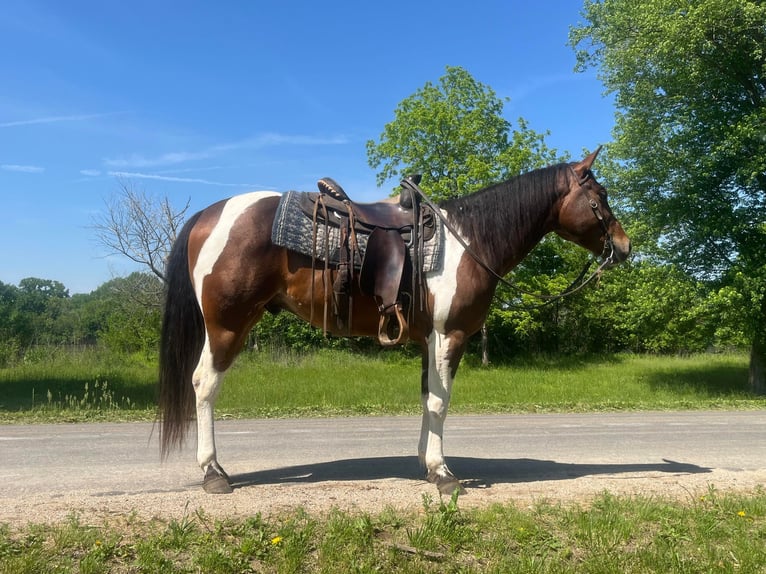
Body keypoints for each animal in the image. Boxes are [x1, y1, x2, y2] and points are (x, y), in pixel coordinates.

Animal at [158, 148, 631, 495]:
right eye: (600, 196)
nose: (624, 247)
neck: (471, 240)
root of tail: (208, 215)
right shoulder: (448, 335)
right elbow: (440, 402)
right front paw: (443, 474)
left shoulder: (428, 341)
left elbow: (427, 399)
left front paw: (426, 463)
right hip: (227, 325)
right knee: (204, 384)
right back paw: (213, 472)